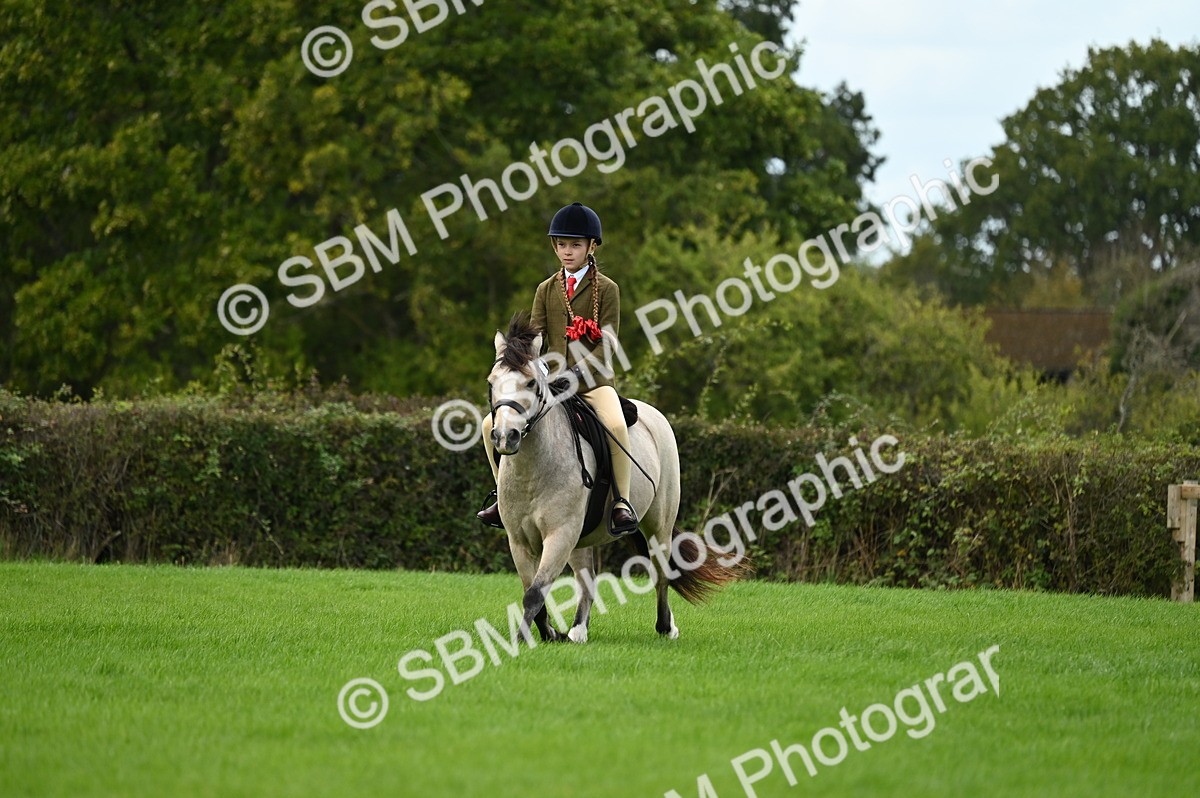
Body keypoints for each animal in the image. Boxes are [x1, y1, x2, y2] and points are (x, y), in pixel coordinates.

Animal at [486, 313, 747, 643]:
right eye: (491, 382)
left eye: (531, 382)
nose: (505, 437)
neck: (533, 471)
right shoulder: (519, 541)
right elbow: (534, 593)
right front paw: (549, 634)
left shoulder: (560, 534)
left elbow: (535, 593)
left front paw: (521, 641)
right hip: (582, 539)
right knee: (587, 581)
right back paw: (577, 631)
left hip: (658, 525)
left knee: (661, 574)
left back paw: (665, 626)